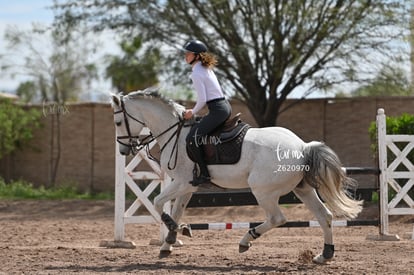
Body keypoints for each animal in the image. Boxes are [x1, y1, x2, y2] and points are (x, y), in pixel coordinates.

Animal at [111, 89, 362, 264]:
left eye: (118, 122)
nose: (123, 150)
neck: (176, 133)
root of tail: (302, 147)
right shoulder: (187, 186)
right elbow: (176, 210)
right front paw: (169, 242)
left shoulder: (182, 182)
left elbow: (158, 203)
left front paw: (176, 231)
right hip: (302, 189)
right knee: (324, 216)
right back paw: (324, 255)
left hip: (263, 191)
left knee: (277, 219)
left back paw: (246, 241)